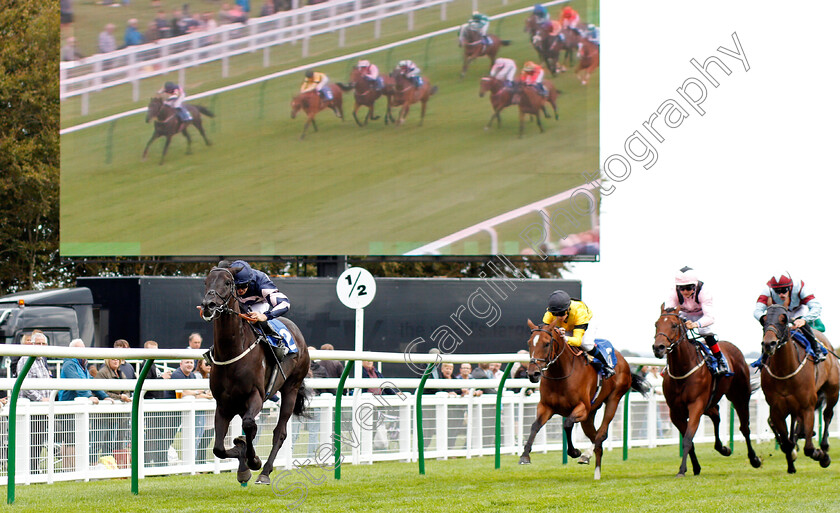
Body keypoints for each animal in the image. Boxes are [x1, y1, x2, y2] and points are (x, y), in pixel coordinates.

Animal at [199, 264, 310, 484]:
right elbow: (219, 448)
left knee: (279, 432)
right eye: (206, 282)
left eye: (227, 282)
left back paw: (265, 472)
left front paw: (253, 461)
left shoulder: (256, 395)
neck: (232, 352)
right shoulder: (223, 404)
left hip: (291, 388)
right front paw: (242, 459)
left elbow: (250, 425)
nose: (208, 305)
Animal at [520, 318, 648, 478]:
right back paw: (597, 474)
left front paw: (574, 452)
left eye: (546, 343)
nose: (533, 374)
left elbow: (567, 424)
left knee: (601, 434)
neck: (560, 375)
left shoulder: (582, 408)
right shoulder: (546, 407)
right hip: (590, 415)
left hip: (613, 399)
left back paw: (586, 455)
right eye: (529, 342)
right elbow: (535, 426)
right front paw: (525, 456)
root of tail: (624, 361)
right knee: (596, 439)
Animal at [652, 304, 764, 476]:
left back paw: (754, 459)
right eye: (656, 324)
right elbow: (689, 440)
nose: (658, 347)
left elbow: (687, 438)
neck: (682, 370)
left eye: (674, 325)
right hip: (710, 402)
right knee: (716, 415)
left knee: (744, 427)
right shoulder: (675, 412)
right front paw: (695, 467)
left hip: (740, 396)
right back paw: (723, 448)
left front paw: (682, 470)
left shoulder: (696, 405)